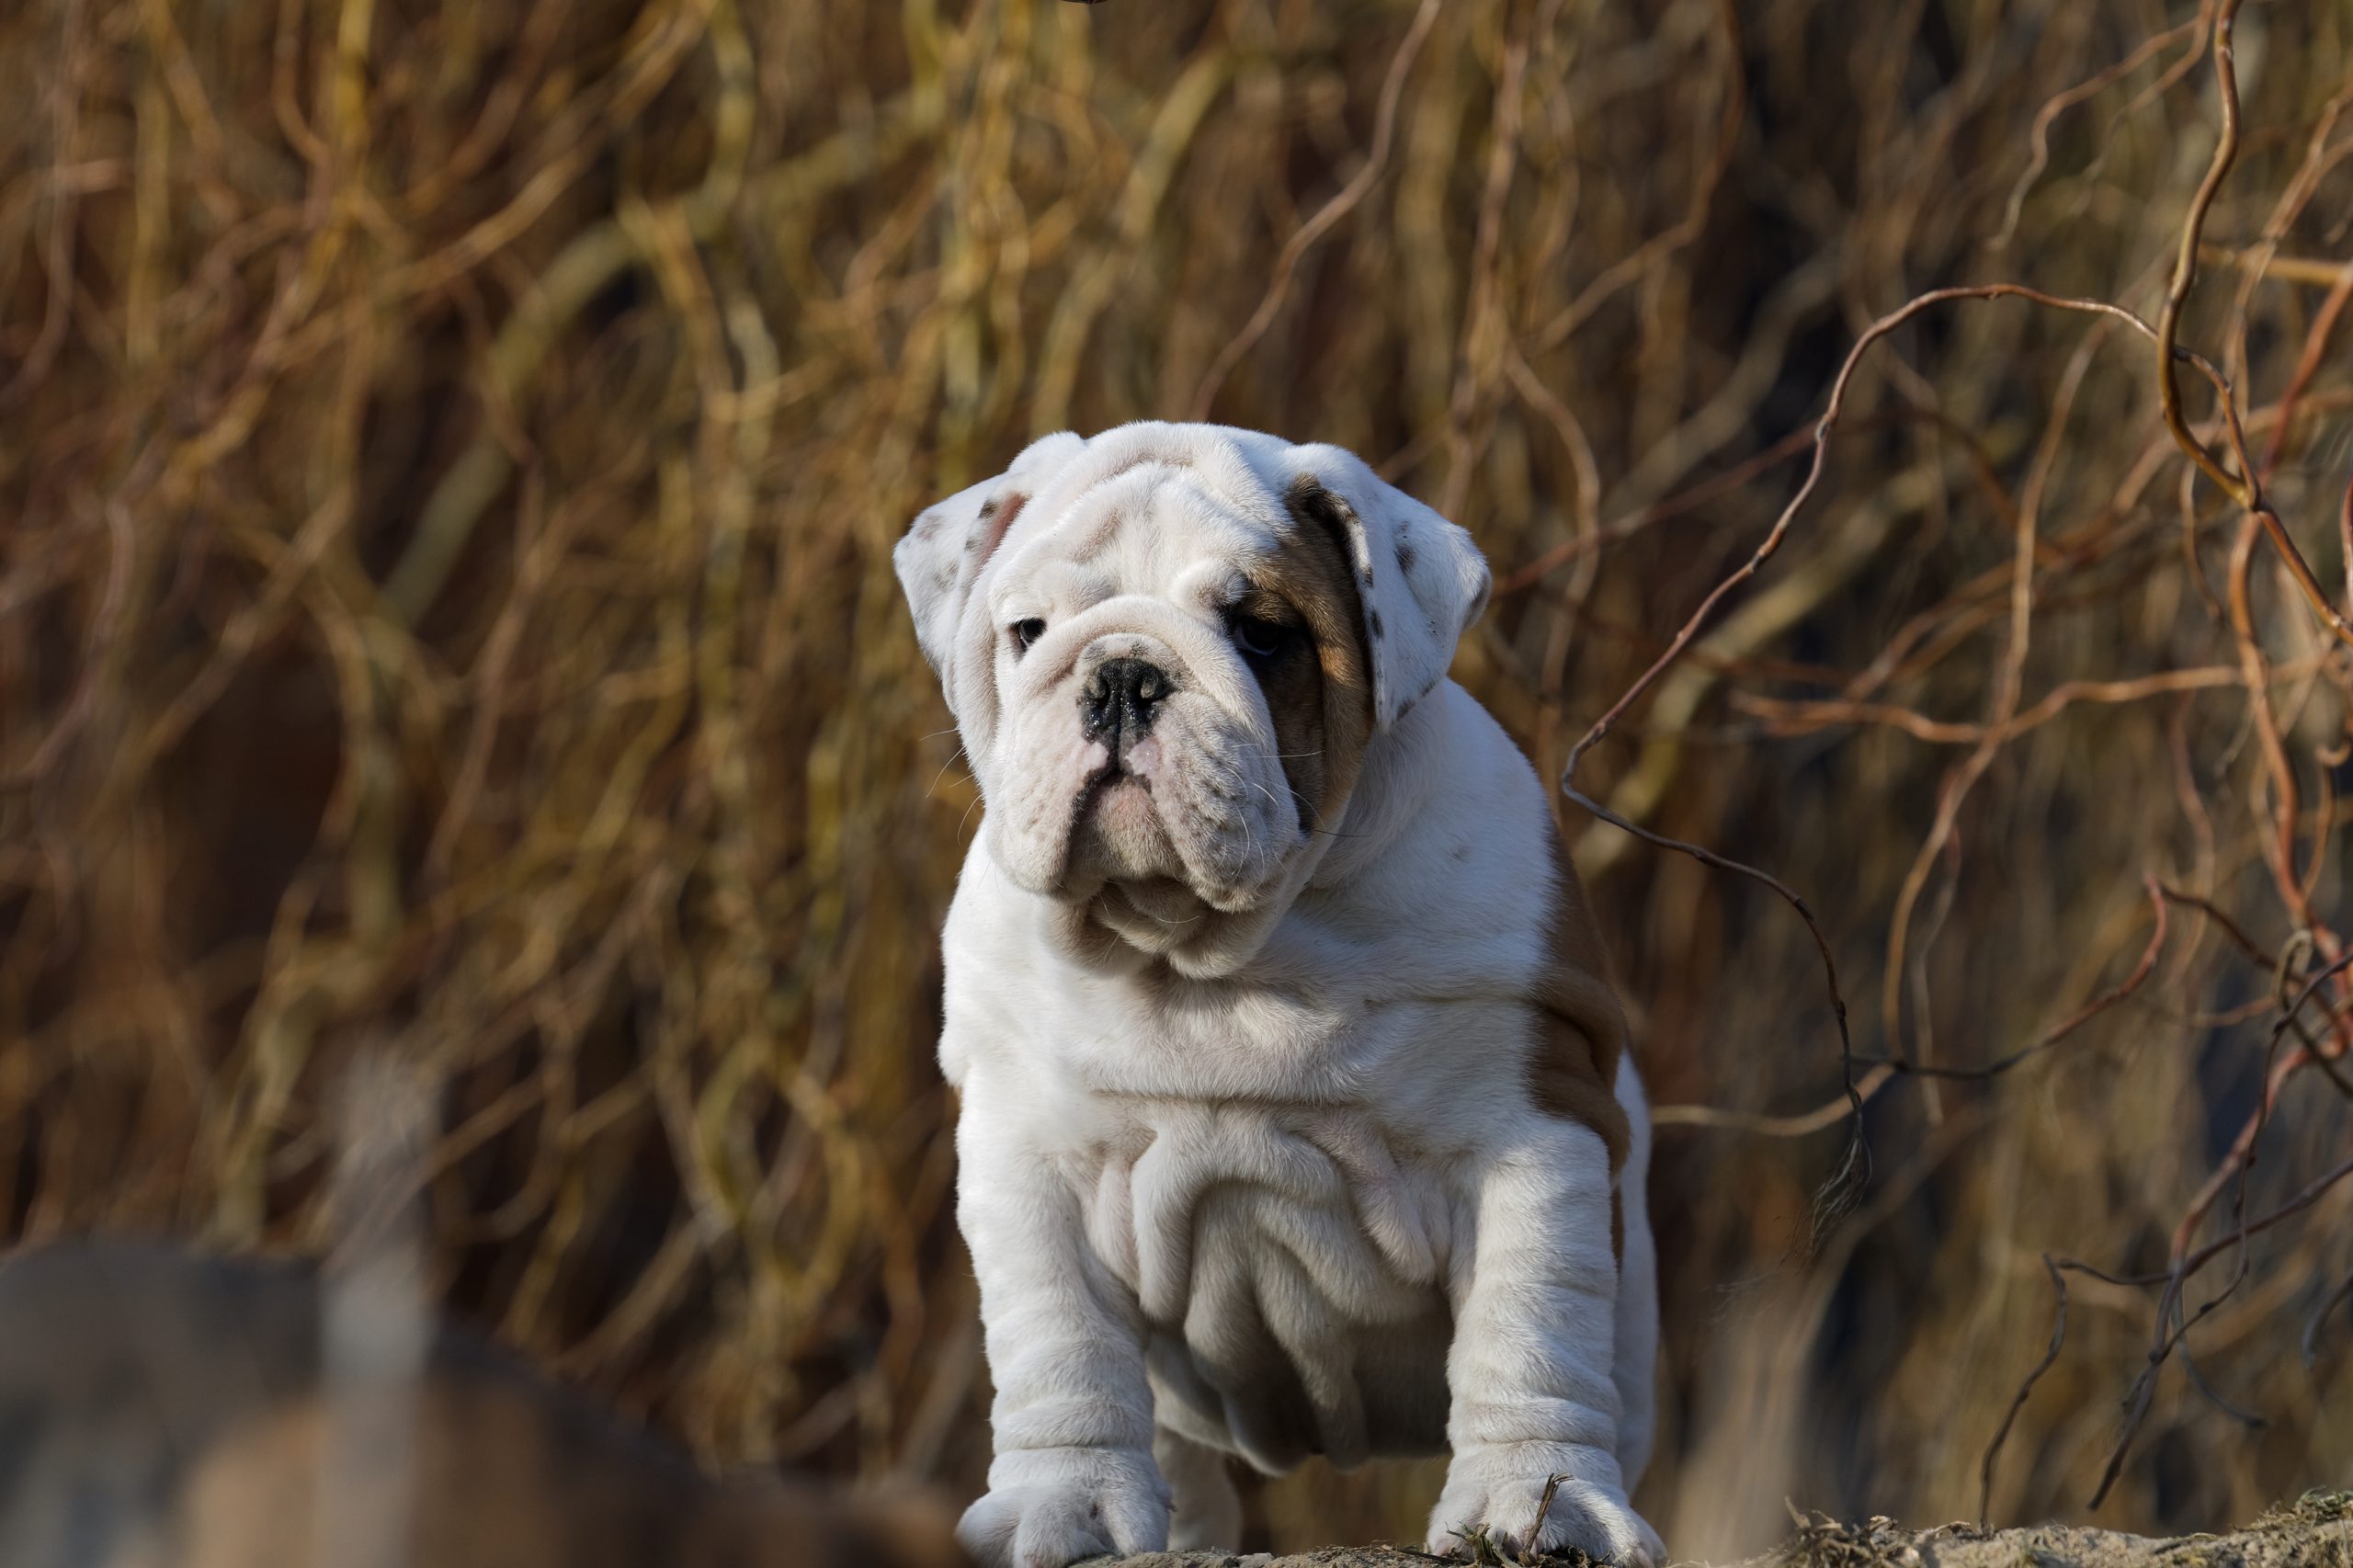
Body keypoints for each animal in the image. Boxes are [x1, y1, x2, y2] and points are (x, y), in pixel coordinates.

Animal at [889, 421, 1665, 1553]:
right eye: (1028, 631)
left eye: (1260, 634)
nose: (1122, 675)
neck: (1205, 953)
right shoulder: (1027, 1154)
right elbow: (1061, 1344)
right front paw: (1063, 1502)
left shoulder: (1534, 1131)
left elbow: (1530, 1331)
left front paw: (1535, 1505)